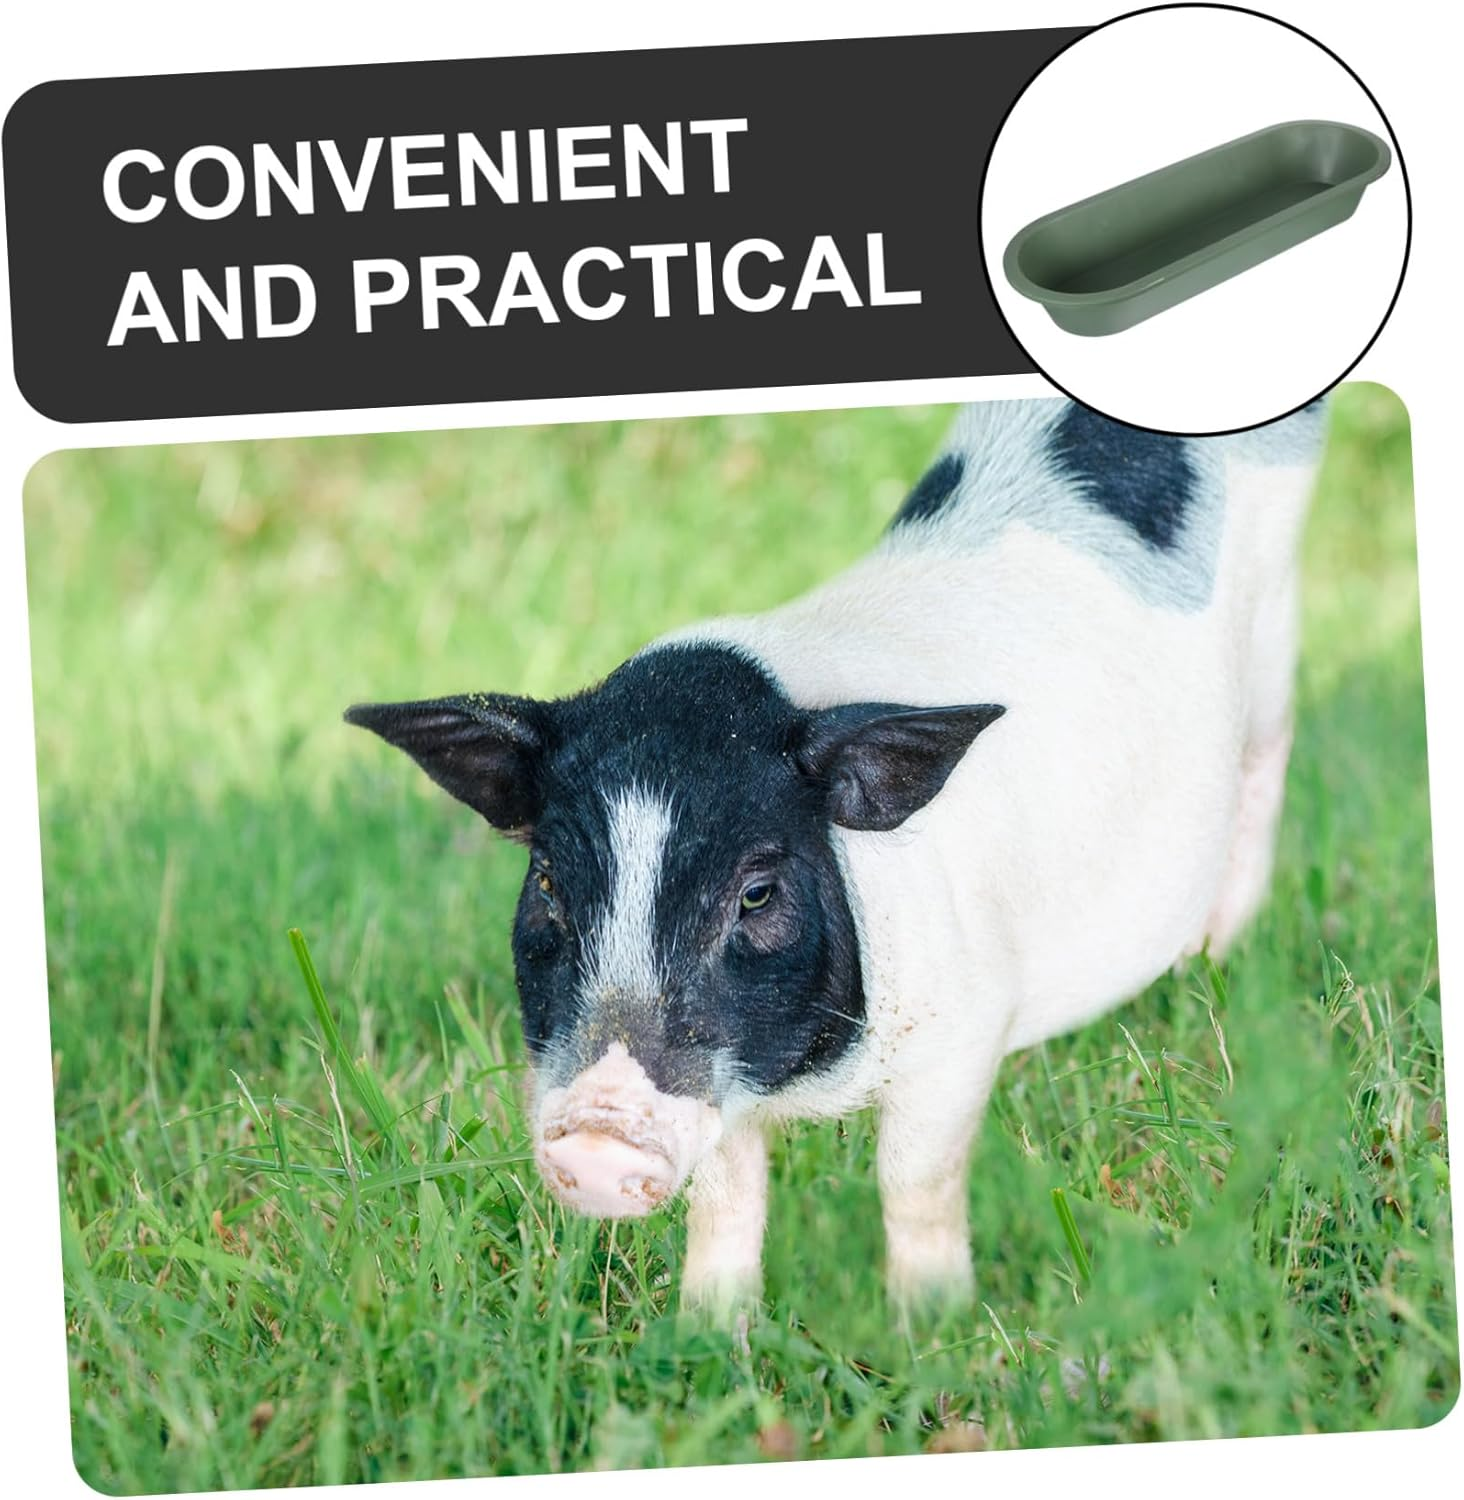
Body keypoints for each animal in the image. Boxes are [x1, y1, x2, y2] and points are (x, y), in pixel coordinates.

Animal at [346, 395, 1325, 1310]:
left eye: (757, 892)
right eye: (549, 881)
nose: (597, 1137)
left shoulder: (963, 1025)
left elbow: (914, 1180)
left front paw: (932, 1325)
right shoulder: (722, 1089)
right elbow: (728, 1199)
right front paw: (707, 1333)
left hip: (1277, 632)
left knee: (1268, 758)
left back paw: (1213, 959)